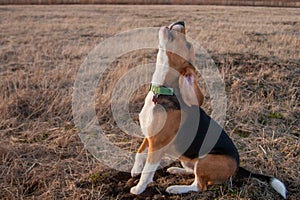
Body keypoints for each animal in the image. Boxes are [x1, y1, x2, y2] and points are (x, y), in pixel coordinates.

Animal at [130, 21, 288, 199]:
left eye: (188, 44)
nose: (182, 22)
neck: (162, 91)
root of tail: (238, 166)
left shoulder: (157, 144)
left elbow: (147, 171)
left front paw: (138, 188)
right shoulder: (148, 136)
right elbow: (139, 153)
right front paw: (135, 171)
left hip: (205, 160)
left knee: (200, 185)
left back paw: (176, 188)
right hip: (187, 158)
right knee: (192, 172)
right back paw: (176, 170)